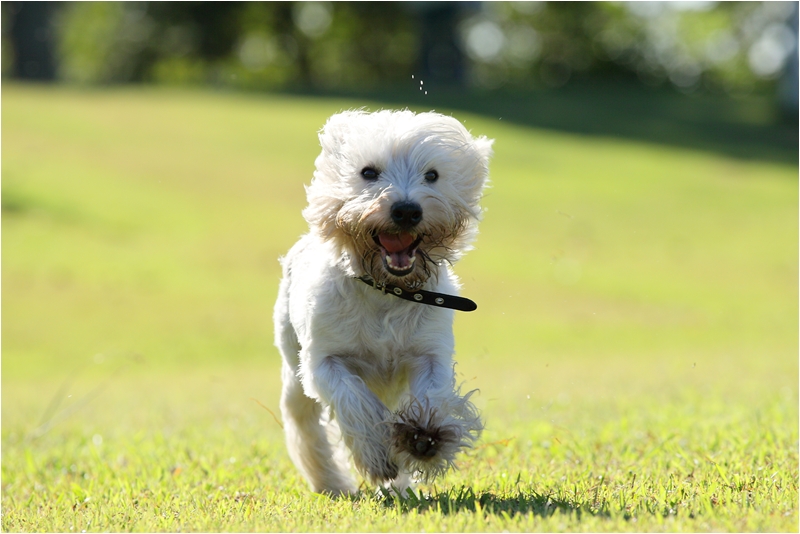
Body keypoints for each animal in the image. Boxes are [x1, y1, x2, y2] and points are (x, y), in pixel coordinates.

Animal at [276, 109, 494, 498]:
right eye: (368, 172)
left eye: (432, 175)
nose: (407, 211)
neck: (386, 290)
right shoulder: (323, 359)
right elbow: (353, 400)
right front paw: (376, 456)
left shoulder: (429, 352)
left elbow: (433, 391)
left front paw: (424, 436)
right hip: (292, 366)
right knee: (305, 427)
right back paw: (331, 482)